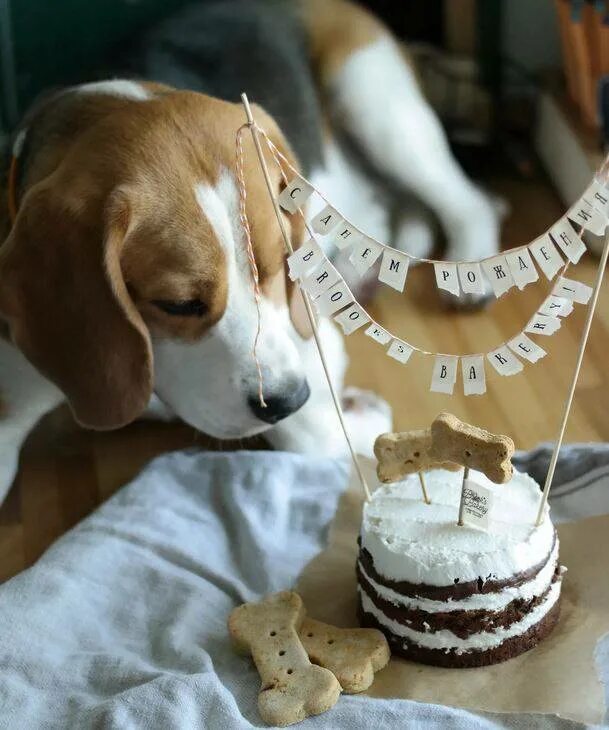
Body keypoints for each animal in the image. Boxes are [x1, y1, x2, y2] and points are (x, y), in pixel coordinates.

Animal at [0, 0, 498, 500]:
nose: (289, 398)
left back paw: (469, 270)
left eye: (283, 263)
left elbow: (308, 433)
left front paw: (361, 419)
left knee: (471, 201)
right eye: (177, 304)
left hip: (377, 108)